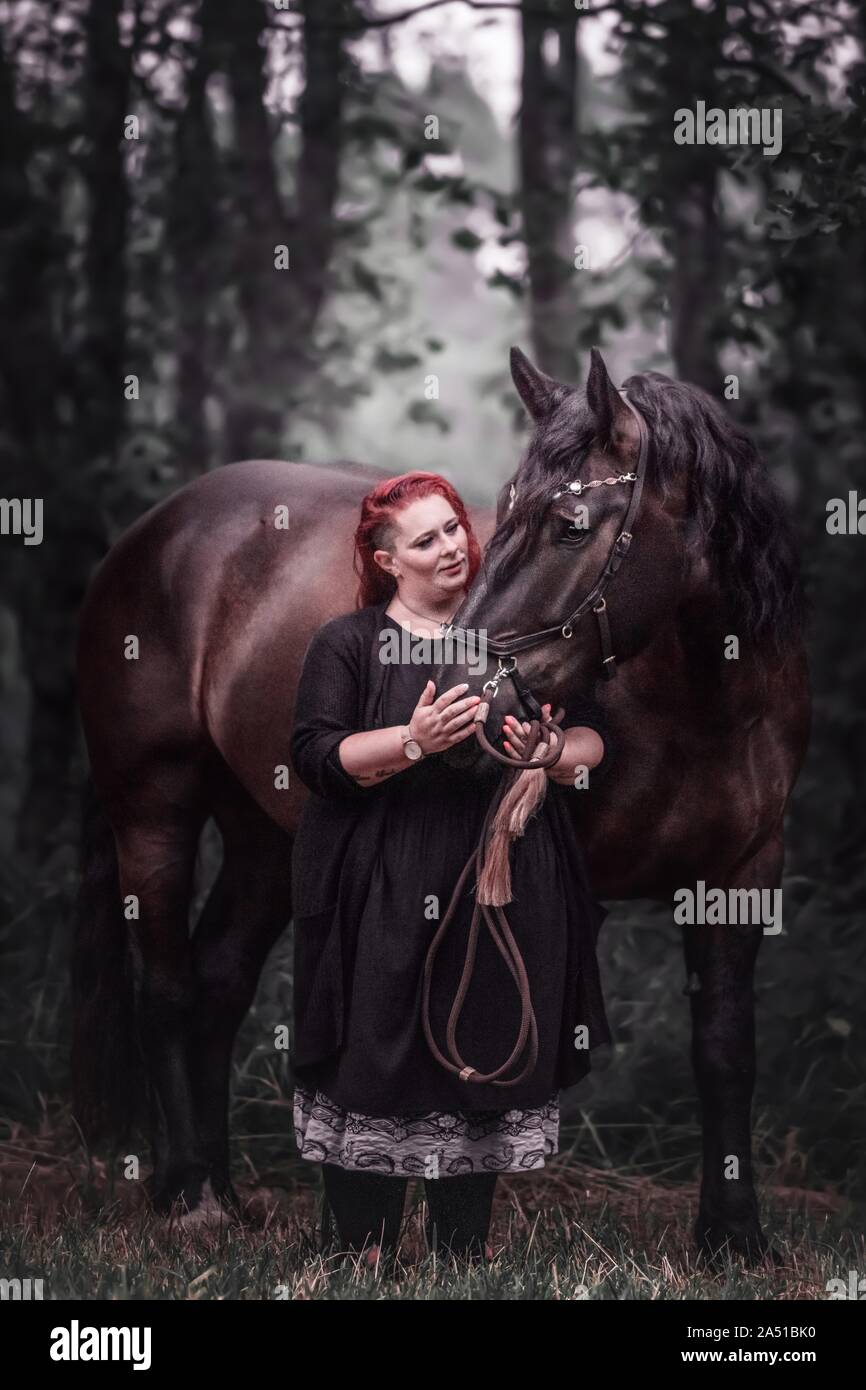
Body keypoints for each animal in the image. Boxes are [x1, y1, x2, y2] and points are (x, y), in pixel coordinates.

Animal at [72, 346, 810, 1262]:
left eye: (571, 527)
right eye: (500, 511)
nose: (465, 684)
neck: (701, 703)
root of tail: (153, 532)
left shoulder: (739, 876)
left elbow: (724, 1049)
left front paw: (735, 1237)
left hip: (267, 841)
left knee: (215, 983)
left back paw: (226, 1192)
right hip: (153, 809)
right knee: (169, 989)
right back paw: (189, 1195)